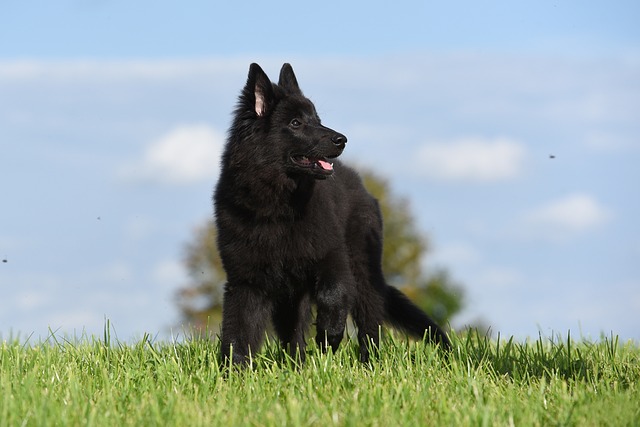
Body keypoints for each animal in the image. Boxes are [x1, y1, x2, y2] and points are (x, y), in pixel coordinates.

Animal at [215, 62, 450, 364]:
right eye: (296, 123)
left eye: (317, 119)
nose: (342, 140)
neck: (278, 207)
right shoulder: (246, 280)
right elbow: (239, 331)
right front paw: (234, 370)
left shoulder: (331, 256)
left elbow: (333, 295)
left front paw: (329, 336)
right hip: (293, 293)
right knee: (293, 334)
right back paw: (297, 365)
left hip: (363, 270)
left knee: (369, 324)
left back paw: (367, 363)